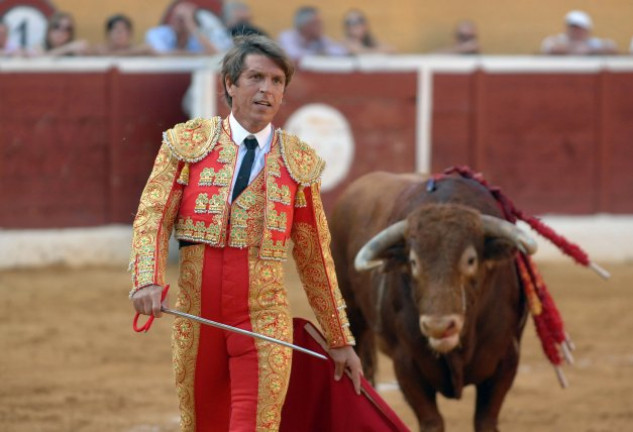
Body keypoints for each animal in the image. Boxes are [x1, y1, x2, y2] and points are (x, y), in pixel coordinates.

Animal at [328, 172, 536, 432]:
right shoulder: (406, 364)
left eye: (471, 260)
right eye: (413, 262)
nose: (438, 326)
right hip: (353, 320)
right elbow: (432, 422)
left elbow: (485, 421)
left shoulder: (507, 359)